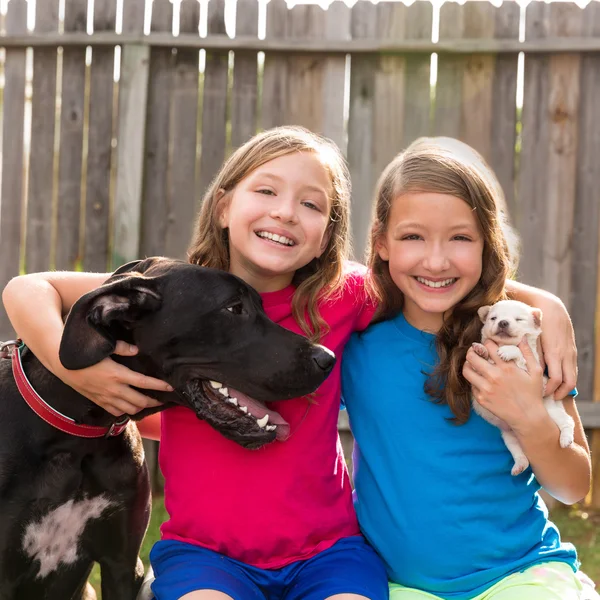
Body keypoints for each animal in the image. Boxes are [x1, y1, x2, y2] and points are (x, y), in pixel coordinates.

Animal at [472, 300, 576, 478]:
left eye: (519, 319)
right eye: (493, 318)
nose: (503, 322)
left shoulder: (530, 366)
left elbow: (519, 351)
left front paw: (507, 351)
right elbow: (483, 355)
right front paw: (481, 349)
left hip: (550, 412)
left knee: (568, 421)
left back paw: (566, 439)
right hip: (509, 436)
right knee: (520, 453)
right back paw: (519, 465)